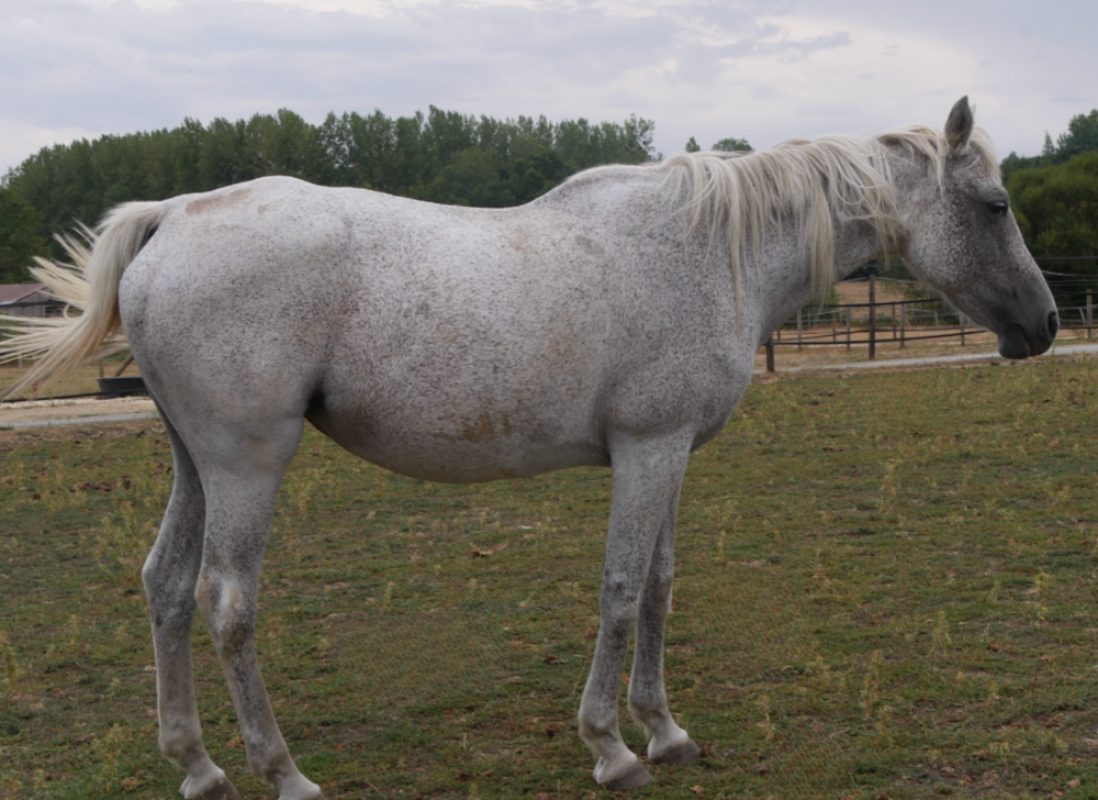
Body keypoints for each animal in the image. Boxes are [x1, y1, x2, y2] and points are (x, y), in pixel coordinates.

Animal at [0, 97, 1058, 798]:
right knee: (227, 603)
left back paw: (200, 767)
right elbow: (623, 591)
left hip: (196, 467)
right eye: (996, 206)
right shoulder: (648, 449)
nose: (1045, 326)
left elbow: (661, 586)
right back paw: (282, 771)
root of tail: (174, 216)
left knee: (167, 589)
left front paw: (665, 731)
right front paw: (611, 747)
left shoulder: (672, 453)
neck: (707, 251)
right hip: (246, 466)